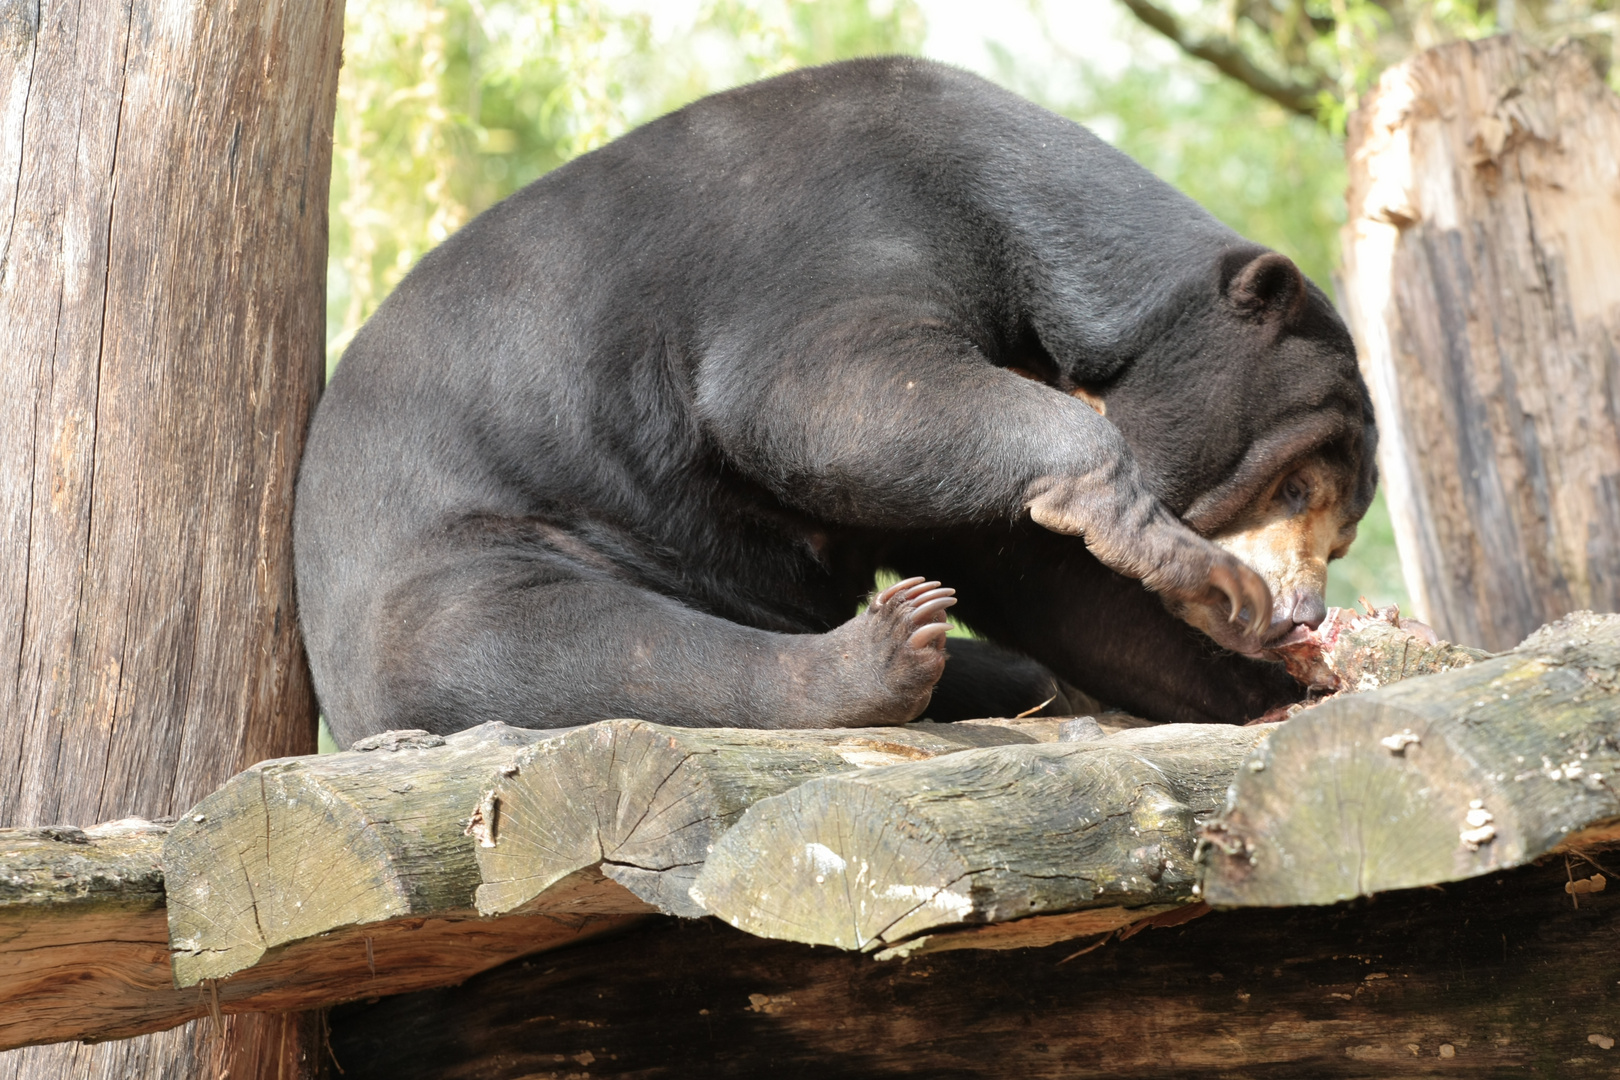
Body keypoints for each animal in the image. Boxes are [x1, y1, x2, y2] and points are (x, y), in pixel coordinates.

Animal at [294, 55, 1380, 744]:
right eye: (1293, 485)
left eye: (1341, 536)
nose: (1304, 610)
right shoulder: (847, 222)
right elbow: (814, 392)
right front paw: (1206, 576)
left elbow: (1036, 571)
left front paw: (1282, 678)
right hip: (468, 565)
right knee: (586, 653)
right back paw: (886, 654)